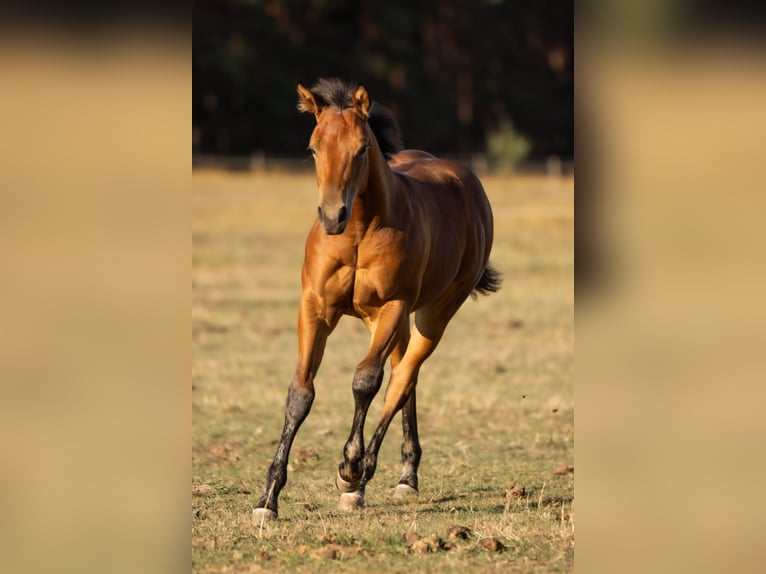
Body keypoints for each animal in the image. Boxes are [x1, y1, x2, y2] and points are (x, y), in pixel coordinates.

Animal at [253, 79, 501, 522]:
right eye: (313, 148)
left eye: (361, 148)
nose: (332, 215)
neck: (357, 234)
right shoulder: (315, 308)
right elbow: (300, 394)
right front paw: (268, 499)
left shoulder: (393, 306)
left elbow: (365, 381)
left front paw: (350, 470)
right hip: (385, 322)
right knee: (405, 373)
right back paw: (405, 475)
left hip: (432, 314)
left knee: (401, 379)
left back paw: (367, 476)